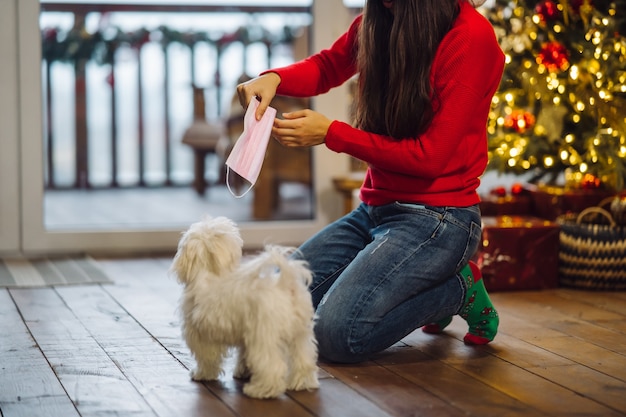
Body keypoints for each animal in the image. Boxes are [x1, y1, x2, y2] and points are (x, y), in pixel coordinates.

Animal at [169, 216, 316, 398]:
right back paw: (301, 383)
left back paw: (259, 390)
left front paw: (202, 374)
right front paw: (242, 371)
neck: (210, 272)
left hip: (264, 338)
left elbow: (207, 357)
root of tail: (285, 285)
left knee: (271, 366)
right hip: (300, 335)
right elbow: (243, 355)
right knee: (303, 360)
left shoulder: (201, 333)